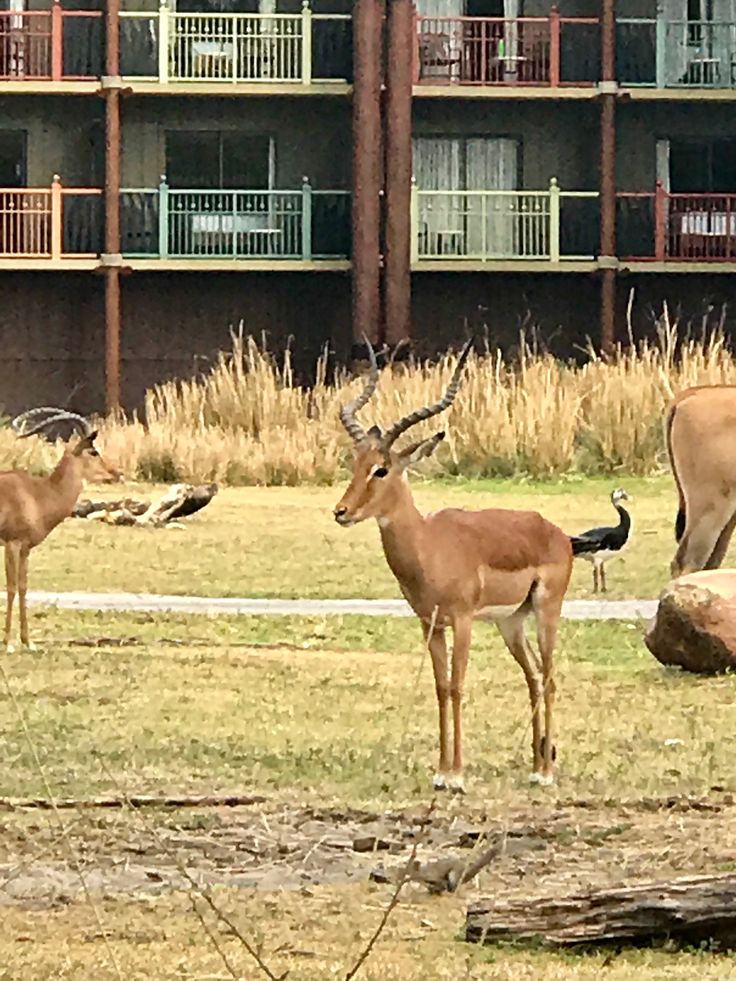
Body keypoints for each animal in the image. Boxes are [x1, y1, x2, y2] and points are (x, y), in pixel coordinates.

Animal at [1, 406, 119, 652]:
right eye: (93, 451)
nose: (115, 473)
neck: (38, 495)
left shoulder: (25, 548)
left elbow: (24, 587)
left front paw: (28, 642)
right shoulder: (11, 544)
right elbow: (11, 587)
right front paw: (7, 643)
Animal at [334, 340, 576, 792]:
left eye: (382, 468)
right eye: (354, 464)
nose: (341, 511)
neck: (430, 547)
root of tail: (554, 531)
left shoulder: (462, 620)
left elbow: (459, 686)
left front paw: (458, 776)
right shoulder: (430, 625)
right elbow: (441, 687)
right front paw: (441, 772)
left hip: (546, 612)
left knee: (550, 678)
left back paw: (546, 774)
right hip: (510, 623)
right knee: (533, 677)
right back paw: (537, 762)